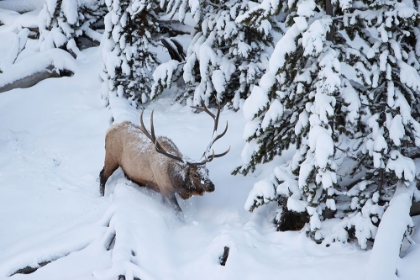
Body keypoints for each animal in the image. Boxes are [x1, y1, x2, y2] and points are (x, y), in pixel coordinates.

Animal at [98, 99, 230, 213]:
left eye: (207, 171)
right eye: (195, 174)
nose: (211, 186)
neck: (176, 181)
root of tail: (109, 130)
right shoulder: (165, 189)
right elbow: (178, 212)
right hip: (111, 157)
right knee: (102, 175)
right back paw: (101, 196)